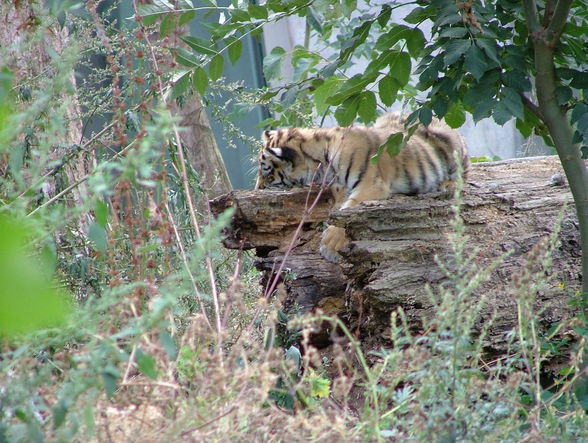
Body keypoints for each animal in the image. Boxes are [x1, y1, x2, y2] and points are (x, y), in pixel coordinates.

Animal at [258, 112, 468, 264]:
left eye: (268, 174)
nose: (258, 188)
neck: (323, 164)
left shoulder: (370, 185)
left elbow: (347, 213)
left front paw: (330, 245)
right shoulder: (340, 190)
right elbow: (338, 211)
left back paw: (447, 185)